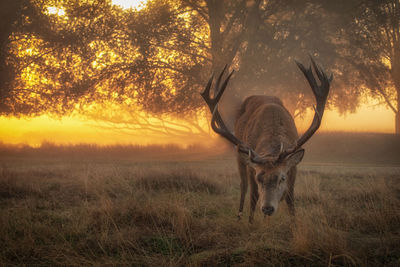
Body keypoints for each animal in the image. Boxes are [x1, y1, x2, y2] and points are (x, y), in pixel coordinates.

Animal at [202, 58, 332, 224]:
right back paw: (239, 216)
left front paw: (294, 223)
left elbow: (290, 199)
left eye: (282, 178)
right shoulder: (252, 169)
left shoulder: (293, 169)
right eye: (259, 178)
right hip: (239, 155)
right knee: (243, 186)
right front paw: (250, 223)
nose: (268, 208)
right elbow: (253, 197)